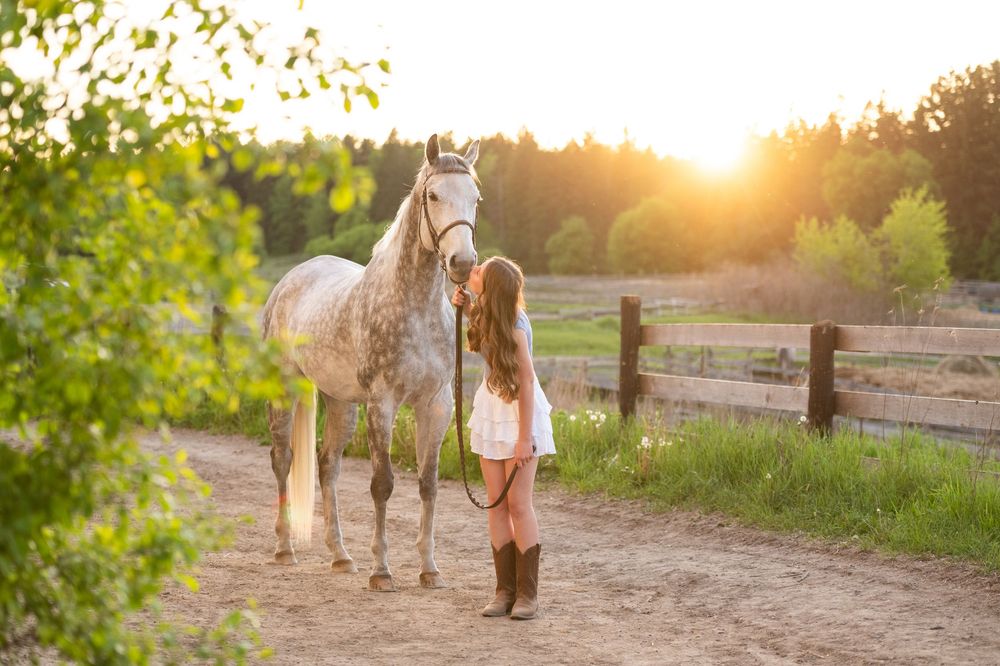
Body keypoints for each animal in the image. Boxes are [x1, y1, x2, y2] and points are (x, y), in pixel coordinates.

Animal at [261, 134, 480, 591]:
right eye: (433, 195)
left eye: (476, 198)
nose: (463, 264)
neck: (414, 307)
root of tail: (290, 279)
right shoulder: (383, 404)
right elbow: (383, 484)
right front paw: (382, 570)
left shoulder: (436, 405)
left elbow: (428, 484)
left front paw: (429, 569)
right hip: (285, 390)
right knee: (283, 459)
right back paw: (285, 548)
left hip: (340, 403)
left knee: (328, 466)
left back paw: (341, 556)